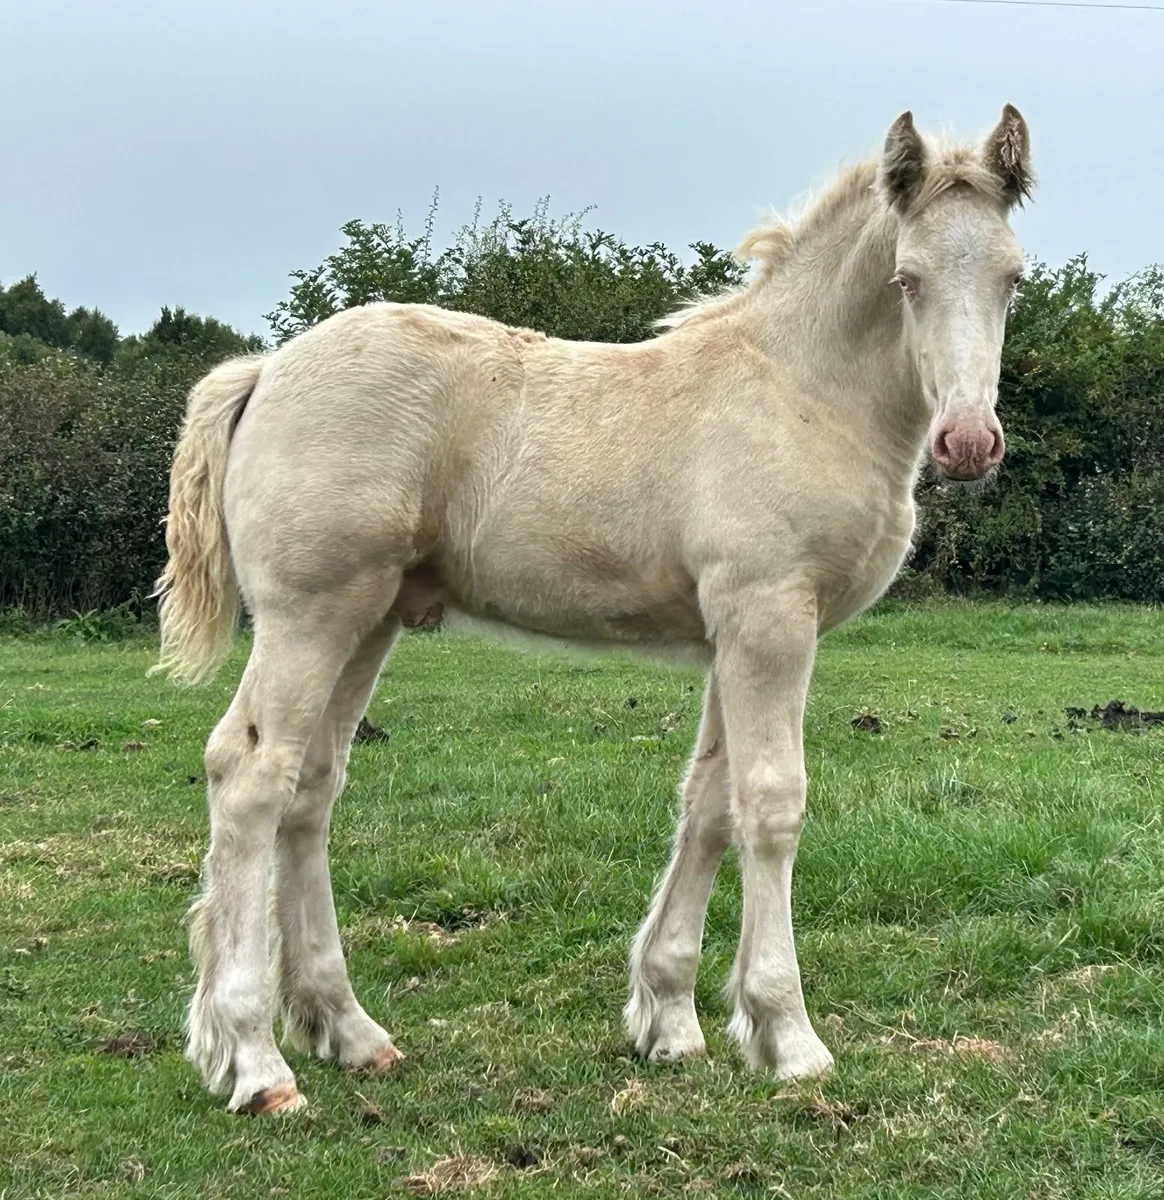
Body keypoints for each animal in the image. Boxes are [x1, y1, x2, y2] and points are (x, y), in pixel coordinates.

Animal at [152, 106, 1034, 1114]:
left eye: (1013, 278)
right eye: (907, 278)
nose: (968, 442)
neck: (798, 389)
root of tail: (265, 371)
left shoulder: (731, 632)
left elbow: (709, 804)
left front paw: (672, 1018)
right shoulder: (771, 616)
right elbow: (772, 804)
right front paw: (789, 1033)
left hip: (369, 618)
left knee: (311, 788)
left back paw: (348, 1030)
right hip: (310, 614)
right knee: (250, 777)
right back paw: (257, 1061)